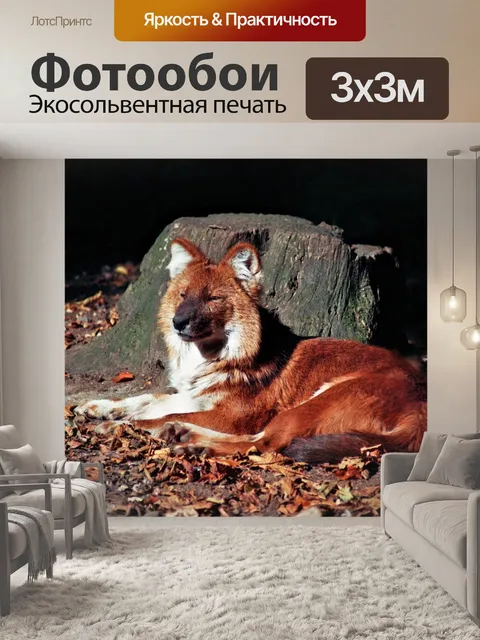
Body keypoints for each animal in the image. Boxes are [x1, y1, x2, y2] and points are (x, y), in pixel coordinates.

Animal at [74, 237, 427, 462]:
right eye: (183, 294)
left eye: (213, 298)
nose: (178, 322)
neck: (212, 356)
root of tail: (423, 410)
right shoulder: (196, 396)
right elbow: (148, 399)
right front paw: (99, 407)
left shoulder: (233, 416)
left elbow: (161, 412)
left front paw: (119, 425)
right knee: (258, 442)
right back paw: (186, 438)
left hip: (319, 400)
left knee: (266, 444)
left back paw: (191, 443)